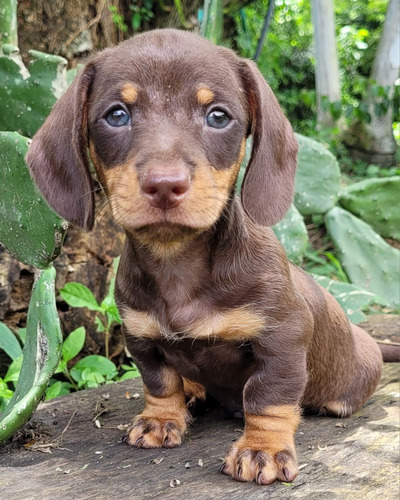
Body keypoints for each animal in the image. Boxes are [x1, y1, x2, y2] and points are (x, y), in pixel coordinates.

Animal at [26, 30, 382, 484]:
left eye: (217, 116)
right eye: (117, 115)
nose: (164, 184)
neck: (177, 263)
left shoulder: (283, 337)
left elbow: (268, 395)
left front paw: (262, 448)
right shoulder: (140, 336)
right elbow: (160, 382)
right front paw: (161, 419)